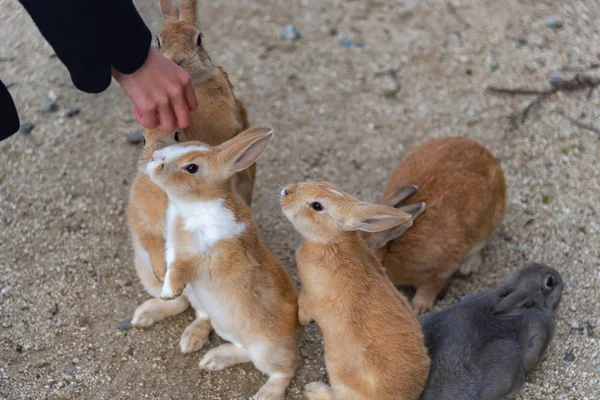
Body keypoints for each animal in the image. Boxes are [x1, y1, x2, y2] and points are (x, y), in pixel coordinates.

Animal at [127, 0, 254, 350]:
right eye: (157, 42)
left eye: (199, 39)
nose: (177, 61)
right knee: (178, 301)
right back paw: (146, 314)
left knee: (201, 312)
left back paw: (191, 339)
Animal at [146, 127, 304, 400]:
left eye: (191, 168)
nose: (155, 158)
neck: (197, 204)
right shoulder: (173, 251)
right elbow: (170, 267)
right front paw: (166, 292)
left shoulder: (202, 258)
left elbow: (180, 270)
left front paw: (168, 293)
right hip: (219, 321)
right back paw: (210, 357)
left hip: (266, 350)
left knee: (283, 371)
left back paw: (265, 393)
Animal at [282, 182, 432, 400]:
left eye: (317, 206)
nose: (286, 192)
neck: (330, 244)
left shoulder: (310, 296)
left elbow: (303, 307)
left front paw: (301, 321)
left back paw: (314, 389)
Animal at [360, 137, 506, 312]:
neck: (388, 249)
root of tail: (489, 156)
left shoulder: (437, 271)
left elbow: (430, 287)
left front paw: (418, 308)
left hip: (486, 225)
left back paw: (467, 267)